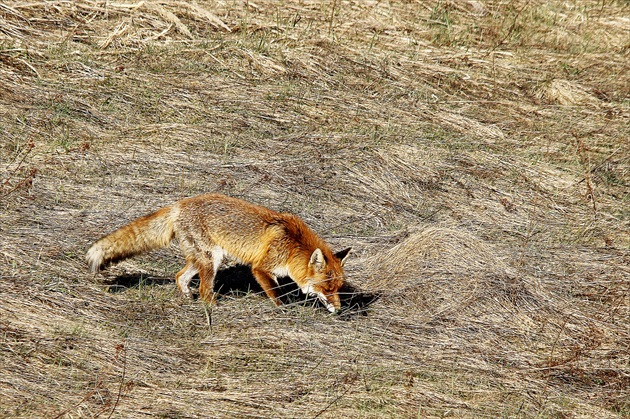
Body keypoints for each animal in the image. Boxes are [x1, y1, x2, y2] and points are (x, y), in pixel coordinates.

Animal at [84, 194, 354, 312]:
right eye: (326, 288)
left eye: (338, 288)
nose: (340, 309)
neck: (292, 246)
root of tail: (179, 204)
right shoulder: (261, 268)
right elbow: (276, 294)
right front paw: (282, 311)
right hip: (211, 259)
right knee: (204, 291)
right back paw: (213, 307)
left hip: (206, 259)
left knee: (179, 276)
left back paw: (187, 298)